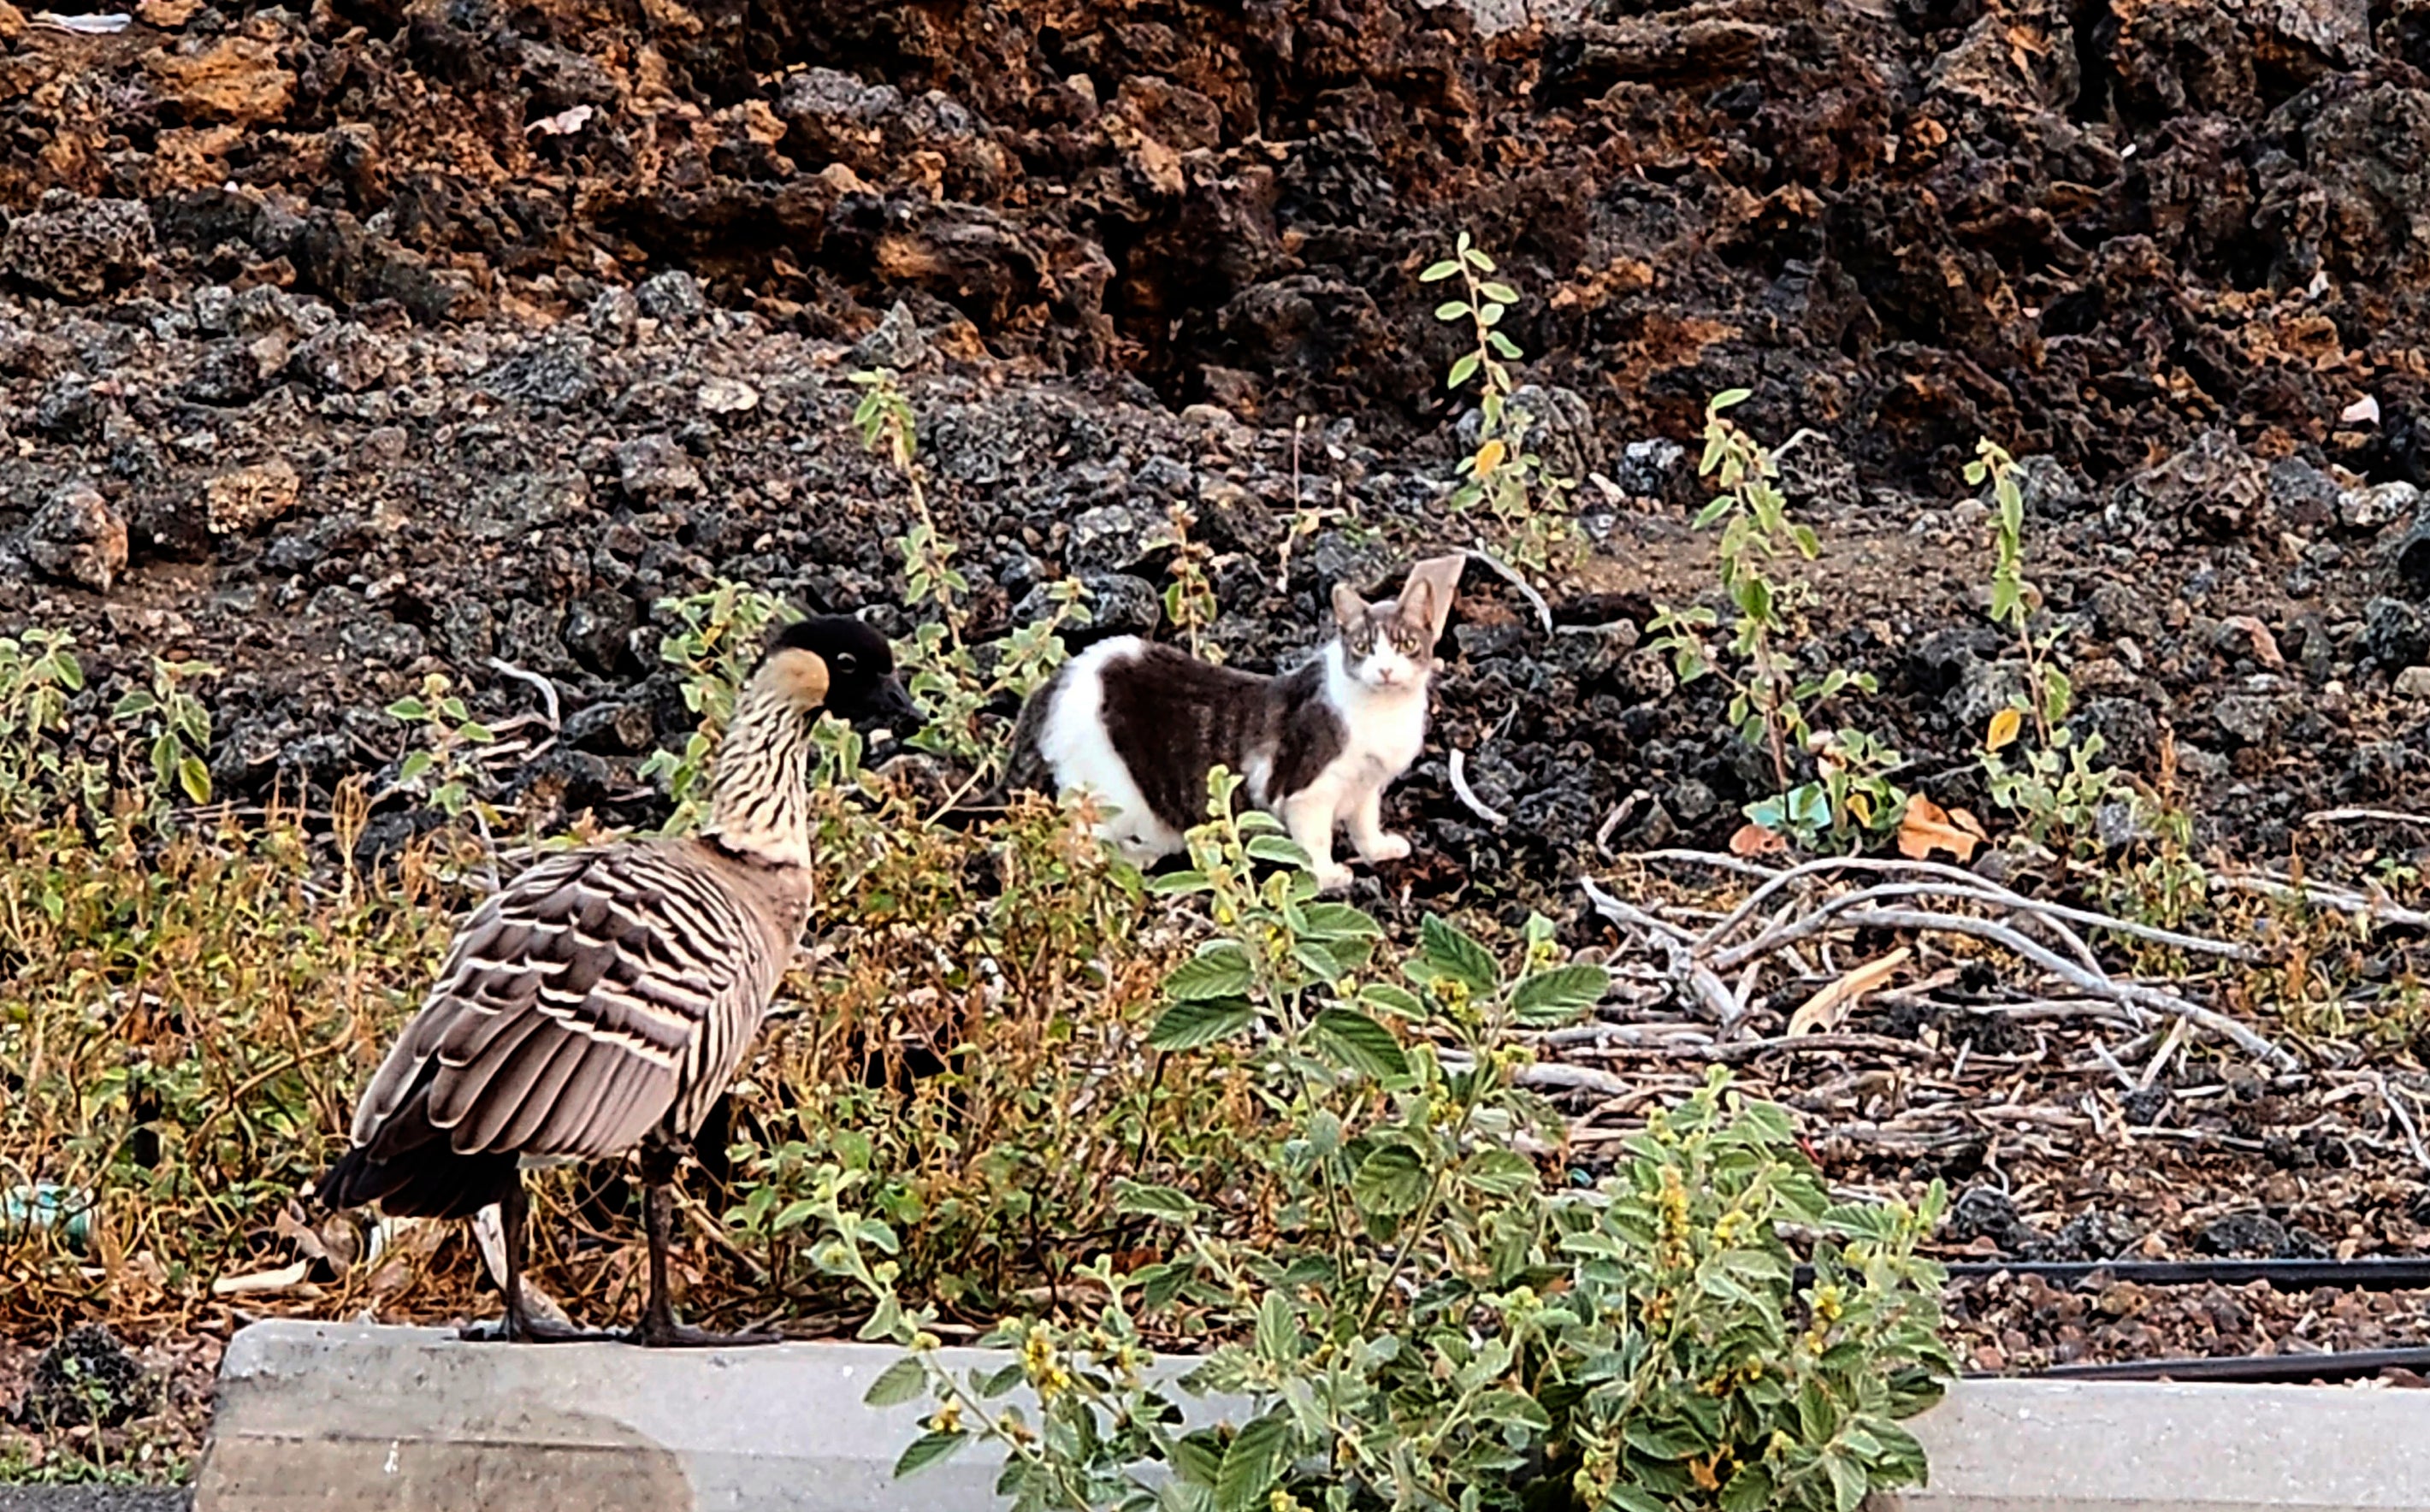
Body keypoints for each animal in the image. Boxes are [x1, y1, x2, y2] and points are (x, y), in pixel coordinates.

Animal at [1006, 554, 1457, 889]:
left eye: (1405, 644)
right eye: (1363, 648)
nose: (1385, 670)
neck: (1384, 712)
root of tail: (1066, 674)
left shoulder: (1366, 786)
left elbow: (1365, 823)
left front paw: (1378, 850)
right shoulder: (1308, 791)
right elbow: (1314, 840)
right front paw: (1328, 875)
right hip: (1111, 795)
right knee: (1074, 842)